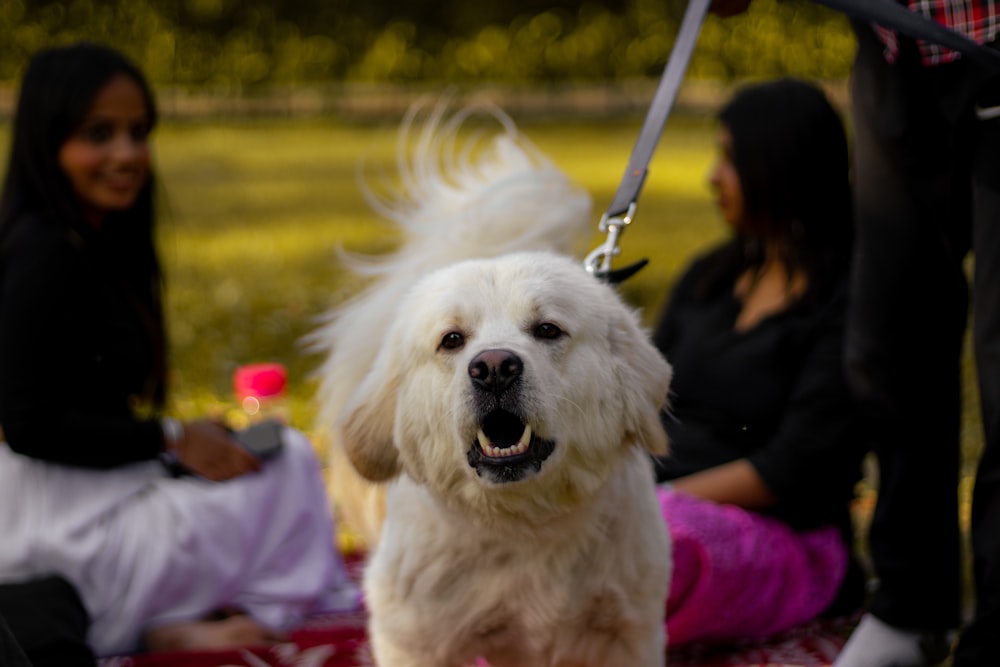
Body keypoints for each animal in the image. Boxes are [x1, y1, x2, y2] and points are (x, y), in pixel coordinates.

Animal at [312, 103, 672, 667]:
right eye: (452, 340)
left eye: (547, 330)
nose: (495, 367)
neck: (524, 529)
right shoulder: (416, 639)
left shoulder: (626, 632)